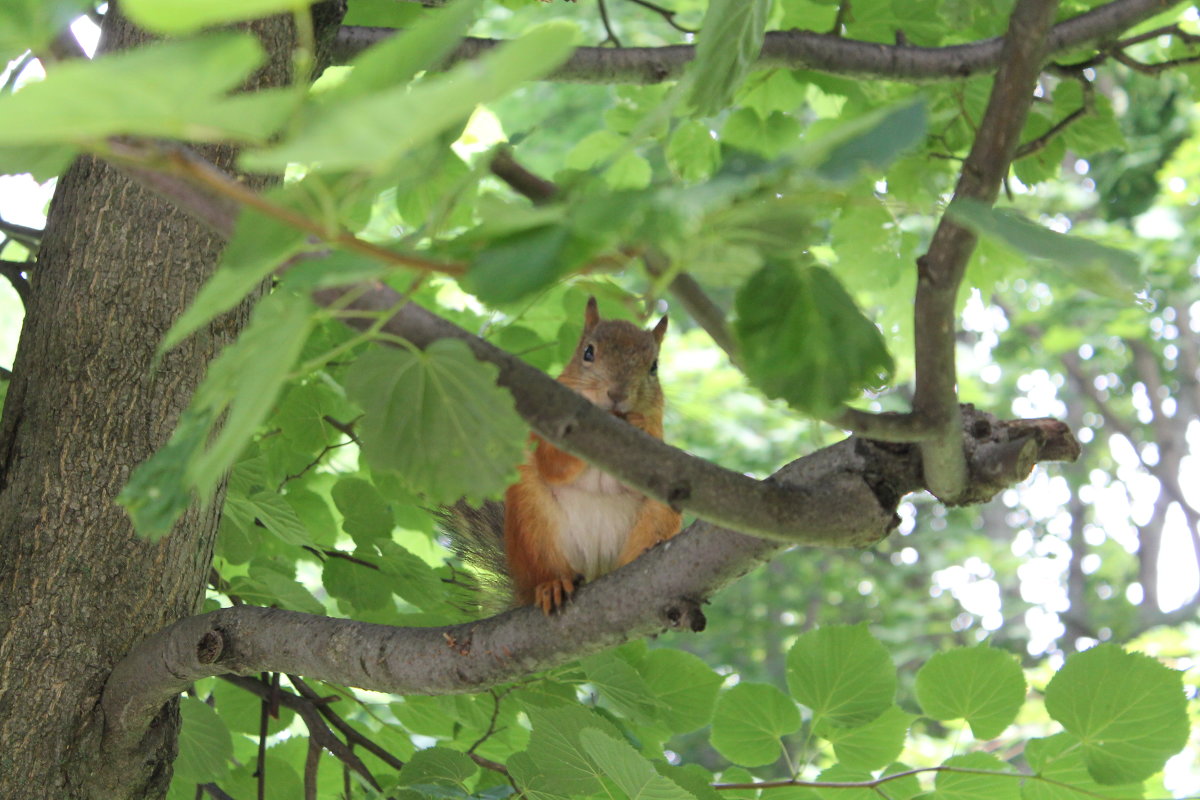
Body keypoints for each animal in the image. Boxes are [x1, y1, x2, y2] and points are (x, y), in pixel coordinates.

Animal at [444, 297, 686, 618]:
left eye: (654, 366)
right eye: (588, 352)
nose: (617, 393)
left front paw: (639, 424)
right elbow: (552, 463)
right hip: (532, 526)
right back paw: (552, 585)